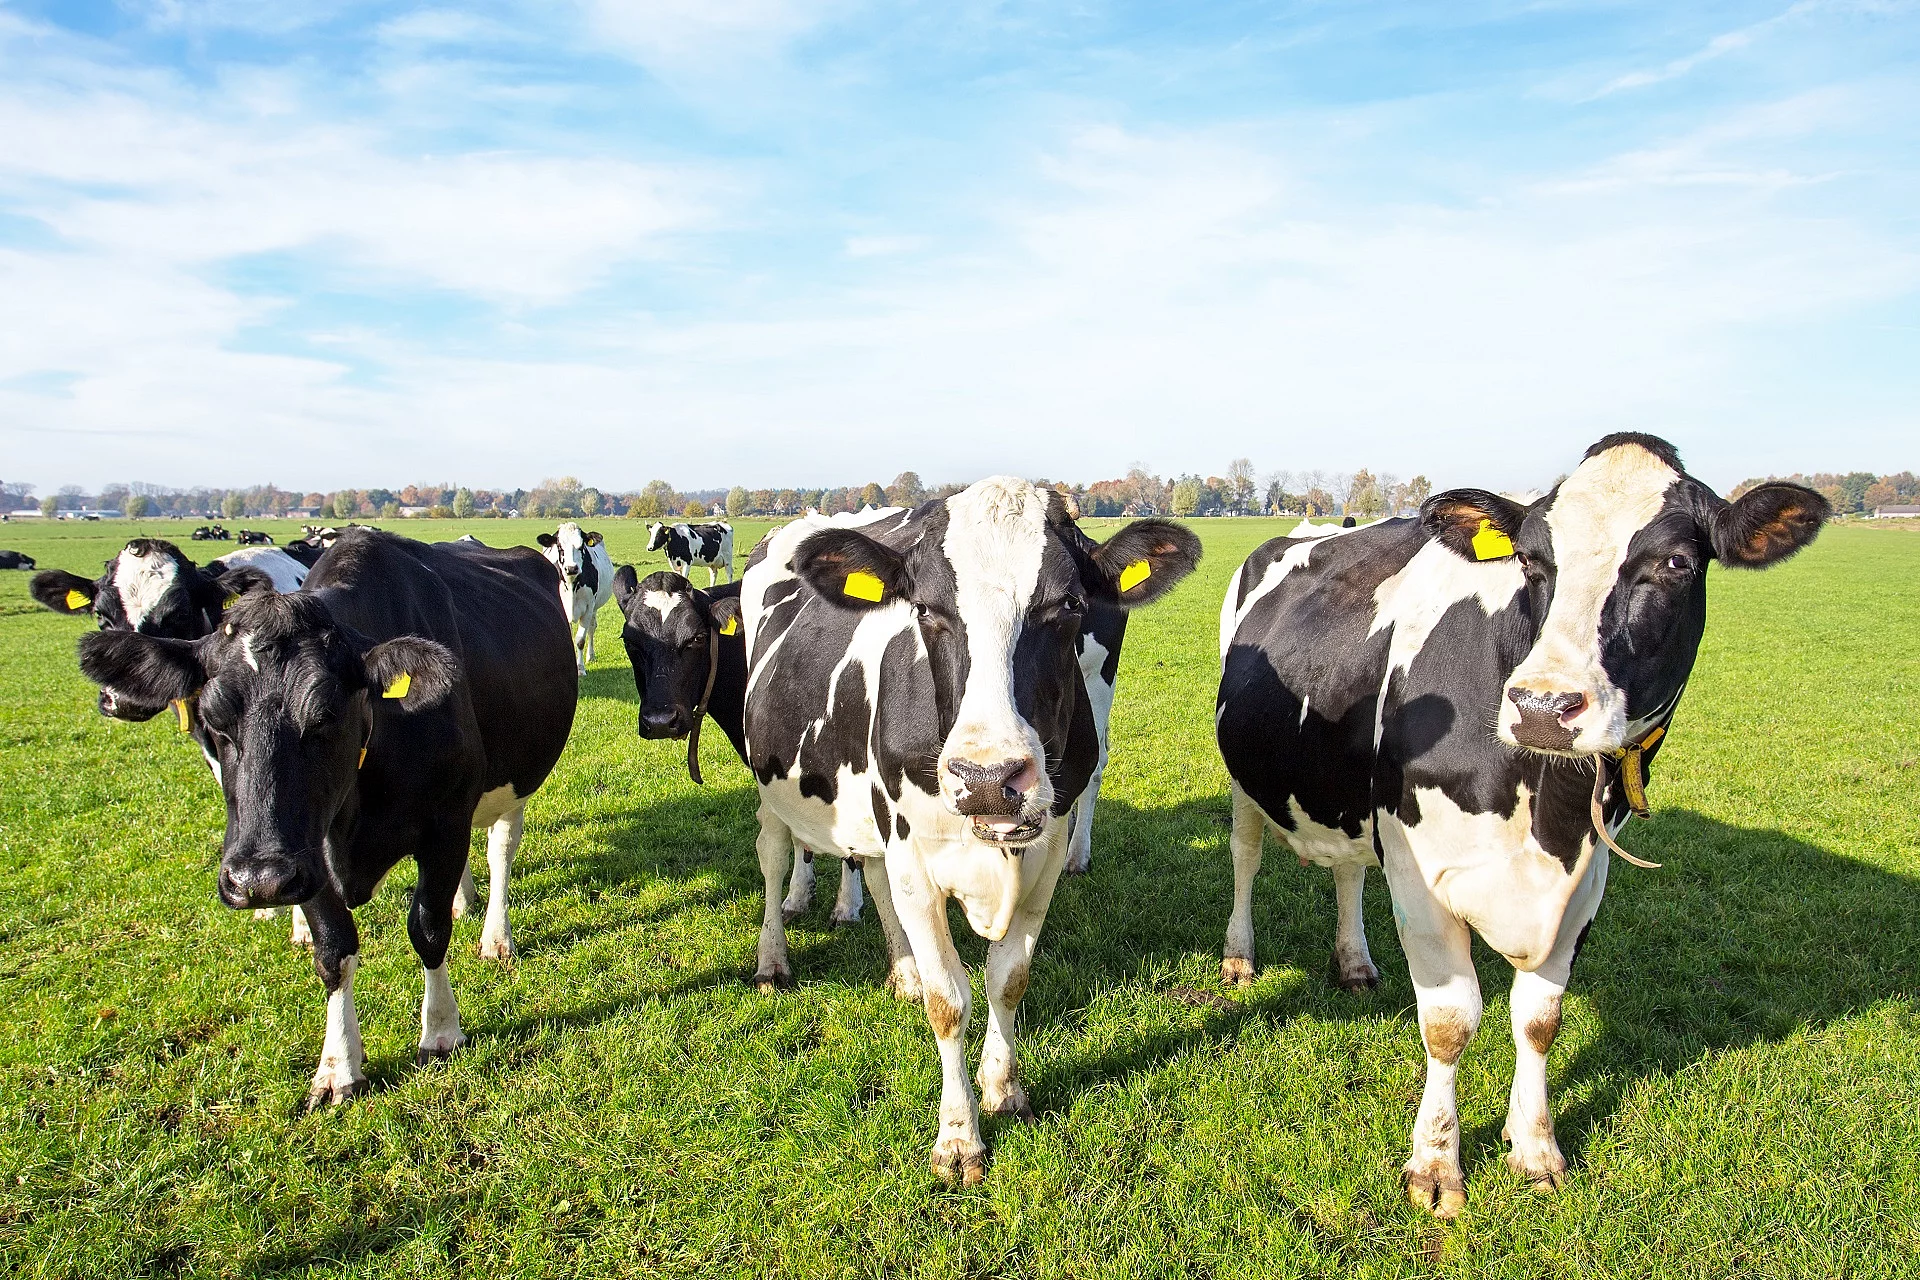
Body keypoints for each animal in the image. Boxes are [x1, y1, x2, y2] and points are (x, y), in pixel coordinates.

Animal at [72, 529, 577, 1106]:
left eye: (327, 715)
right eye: (215, 720)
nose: (256, 880)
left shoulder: (444, 823)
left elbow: (428, 927)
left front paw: (441, 1032)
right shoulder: (303, 853)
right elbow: (334, 949)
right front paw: (338, 1066)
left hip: (515, 781)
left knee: (499, 850)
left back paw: (495, 936)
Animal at [536, 523, 614, 673]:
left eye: (581, 546)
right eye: (559, 546)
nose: (571, 568)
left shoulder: (589, 608)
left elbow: (580, 640)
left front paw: (580, 668)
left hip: (594, 608)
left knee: (591, 628)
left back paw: (590, 656)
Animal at [741, 479, 1200, 1181]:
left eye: (1070, 605)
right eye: (927, 609)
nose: (988, 779)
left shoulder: (1044, 855)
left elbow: (1007, 979)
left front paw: (1002, 1088)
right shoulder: (915, 856)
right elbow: (948, 1000)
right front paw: (959, 1136)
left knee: (874, 878)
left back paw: (901, 970)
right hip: (773, 787)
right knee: (772, 857)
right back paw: (773, 958)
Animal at [1214, 433, 1827, 1217]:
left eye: (1677, 563)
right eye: (1534, 562)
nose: (1543, 707)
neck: (1547, 808)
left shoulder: (1586, 880)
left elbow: (1539, 1019)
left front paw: (1534, 1148)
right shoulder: (1418, 871)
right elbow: (1450, 1023)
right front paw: (1436, 1166)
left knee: (1349, 869)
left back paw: (1353, 962)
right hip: (1245, 778)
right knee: (1246, 855)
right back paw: (1238, 955)